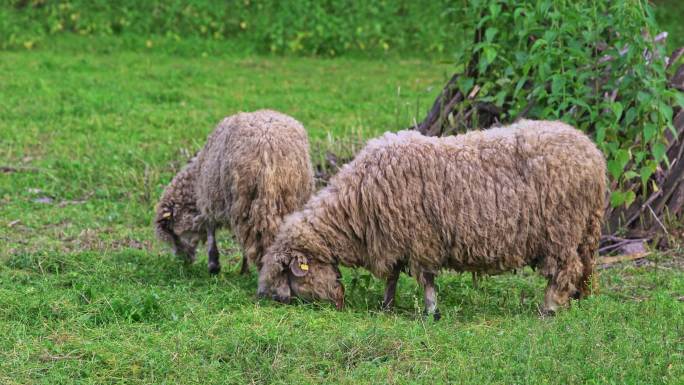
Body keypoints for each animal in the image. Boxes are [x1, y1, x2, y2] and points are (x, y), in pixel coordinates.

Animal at [154, 109, 312, 274]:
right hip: (285, 199)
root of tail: (267, 146)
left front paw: (214, 265)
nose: (183, 261)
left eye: (174, 234)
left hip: (244, 200)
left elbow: (211, 232)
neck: (195, 182)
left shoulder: (209, 201)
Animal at [256, 120, 604, 318]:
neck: (355, 206)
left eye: (289, 277)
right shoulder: (394, 239)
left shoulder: (420, 240)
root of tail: (593, 153)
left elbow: (425, 279)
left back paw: (550, 307)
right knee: (584, 268)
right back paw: (576, 299)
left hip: (562, 229)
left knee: (565, 268)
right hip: (583, 230)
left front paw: (431, 311)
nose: (271, 299)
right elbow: (393, 276)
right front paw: (386, 306)